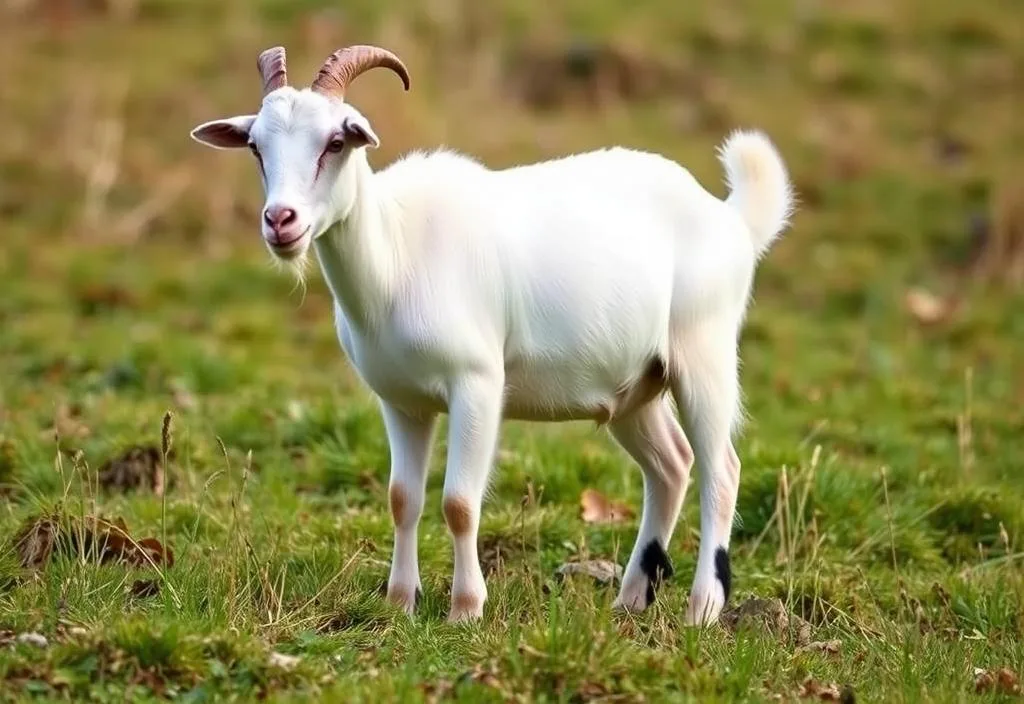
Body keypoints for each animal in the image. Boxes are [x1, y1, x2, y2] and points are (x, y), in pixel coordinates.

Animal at [193, 45, 798, 626]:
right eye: (255, 147)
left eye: (336, 140)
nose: (281, 221)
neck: (396, 251)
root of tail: (732, 220)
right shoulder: (401, 401)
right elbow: (402, 498)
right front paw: (399, 602)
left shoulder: (478, 385)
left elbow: (459, 503)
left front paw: (465, 609)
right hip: (636, 390)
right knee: (671, 465)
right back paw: (631, 600)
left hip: (704, 354)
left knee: (721, 469)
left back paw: (703, 609)